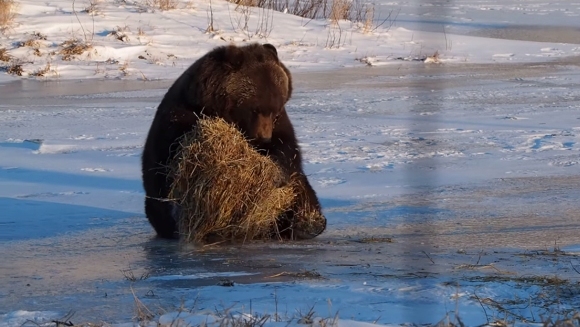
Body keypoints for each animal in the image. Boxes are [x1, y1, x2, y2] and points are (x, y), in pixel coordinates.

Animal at [141, 43, 326, 241]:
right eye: (255, 109)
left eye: (274, 111)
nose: (263, 137)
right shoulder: (182, 114)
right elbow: (174, 155)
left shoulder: (280, 124)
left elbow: (287, 152)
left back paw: (308, 223)